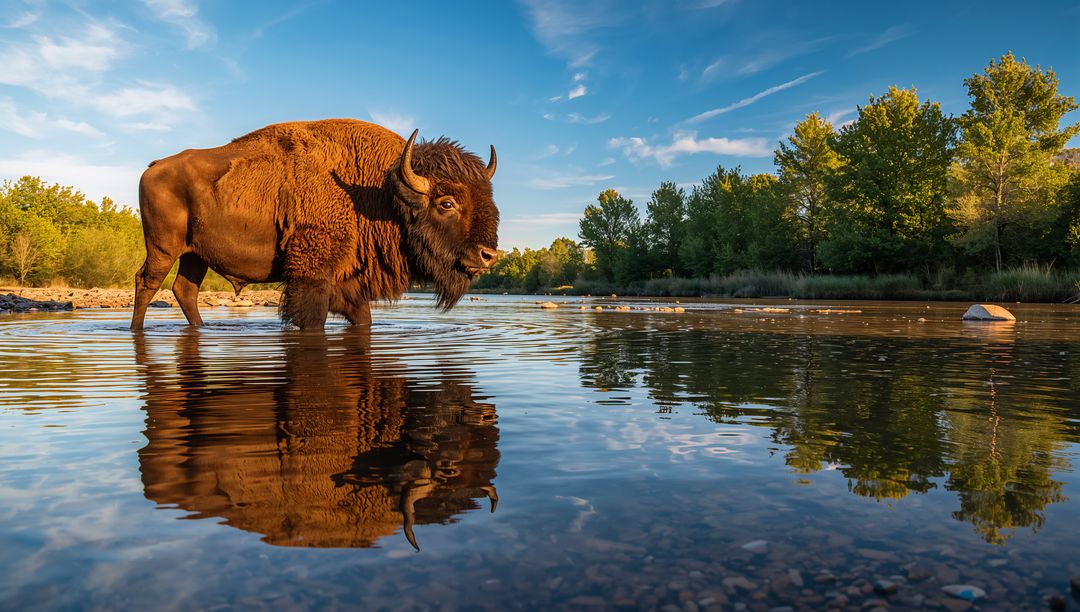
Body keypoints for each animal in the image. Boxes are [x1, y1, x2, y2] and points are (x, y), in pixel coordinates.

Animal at [131, 120, 500, 330]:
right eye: (446, 203)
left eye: (488, 198)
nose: (488, 256)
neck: (379, 191)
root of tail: (153, 167)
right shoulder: (312, 276)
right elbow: (312, 319)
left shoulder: (349, 283)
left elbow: (362, 318)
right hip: (163, 248)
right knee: (147, 283)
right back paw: (137, 330)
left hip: (195, 255)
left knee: (185, 290)